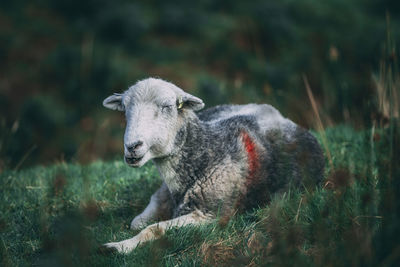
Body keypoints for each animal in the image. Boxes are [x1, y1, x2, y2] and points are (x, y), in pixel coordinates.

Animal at [101, 78, 324, 255]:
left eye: (167, 107)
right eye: (125, 109)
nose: (132, 146)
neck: (204, 154)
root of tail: (276, 113)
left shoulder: (211, 216)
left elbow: (153, 229)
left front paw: (119, 247)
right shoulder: (164, 196)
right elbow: (136, 223)